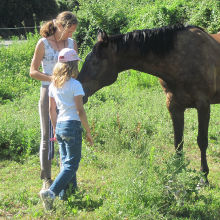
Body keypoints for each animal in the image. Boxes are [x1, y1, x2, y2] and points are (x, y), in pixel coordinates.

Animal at [78, 24, 220, 182]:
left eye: (95, 62)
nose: (79, 94)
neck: (181, 59)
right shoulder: (174, 106)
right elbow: (178, 142)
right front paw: (177, 172)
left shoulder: (203, 105)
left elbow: (202, 141)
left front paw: (204, 176)